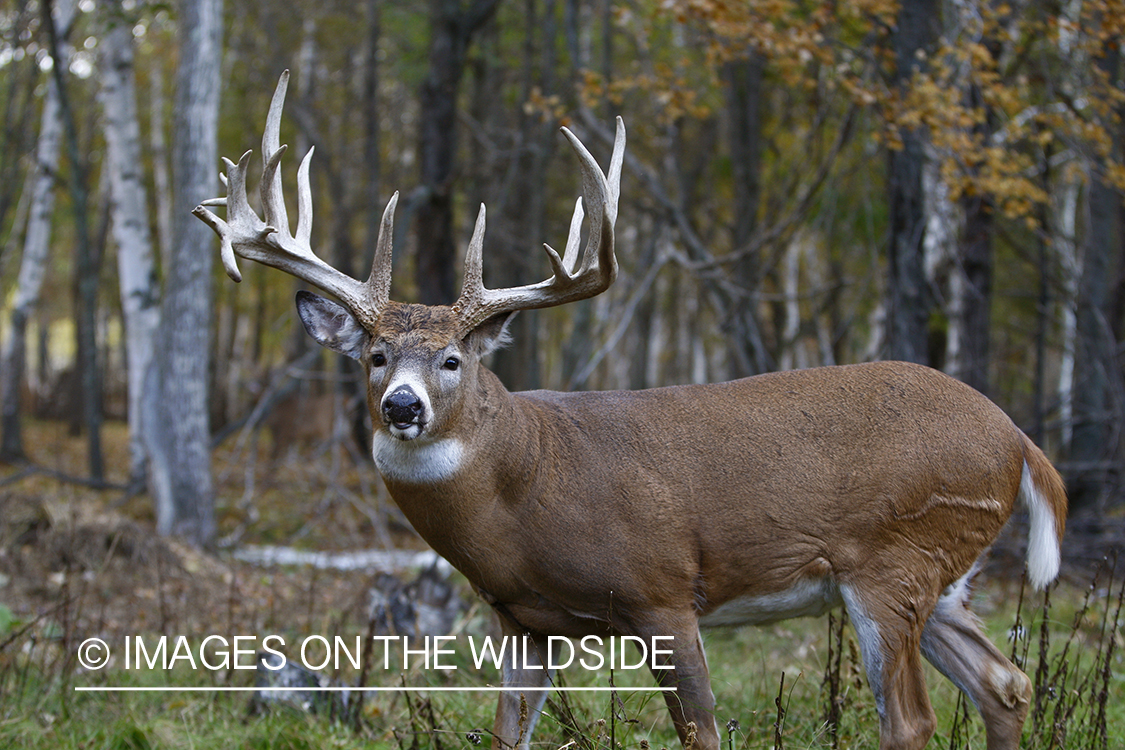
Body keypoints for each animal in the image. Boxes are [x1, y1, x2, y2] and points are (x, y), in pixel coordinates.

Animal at [198, 71, 1066, 750]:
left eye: (452, 359)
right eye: (374, 356)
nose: (401, 406)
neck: (526, 485)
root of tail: (1020, 441)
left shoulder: (663, 591)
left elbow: (702, 731)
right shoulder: (522, 619)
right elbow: (506, 735)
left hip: (894, 556)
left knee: (911, 721)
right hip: (945, 574)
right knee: (1007, 683)